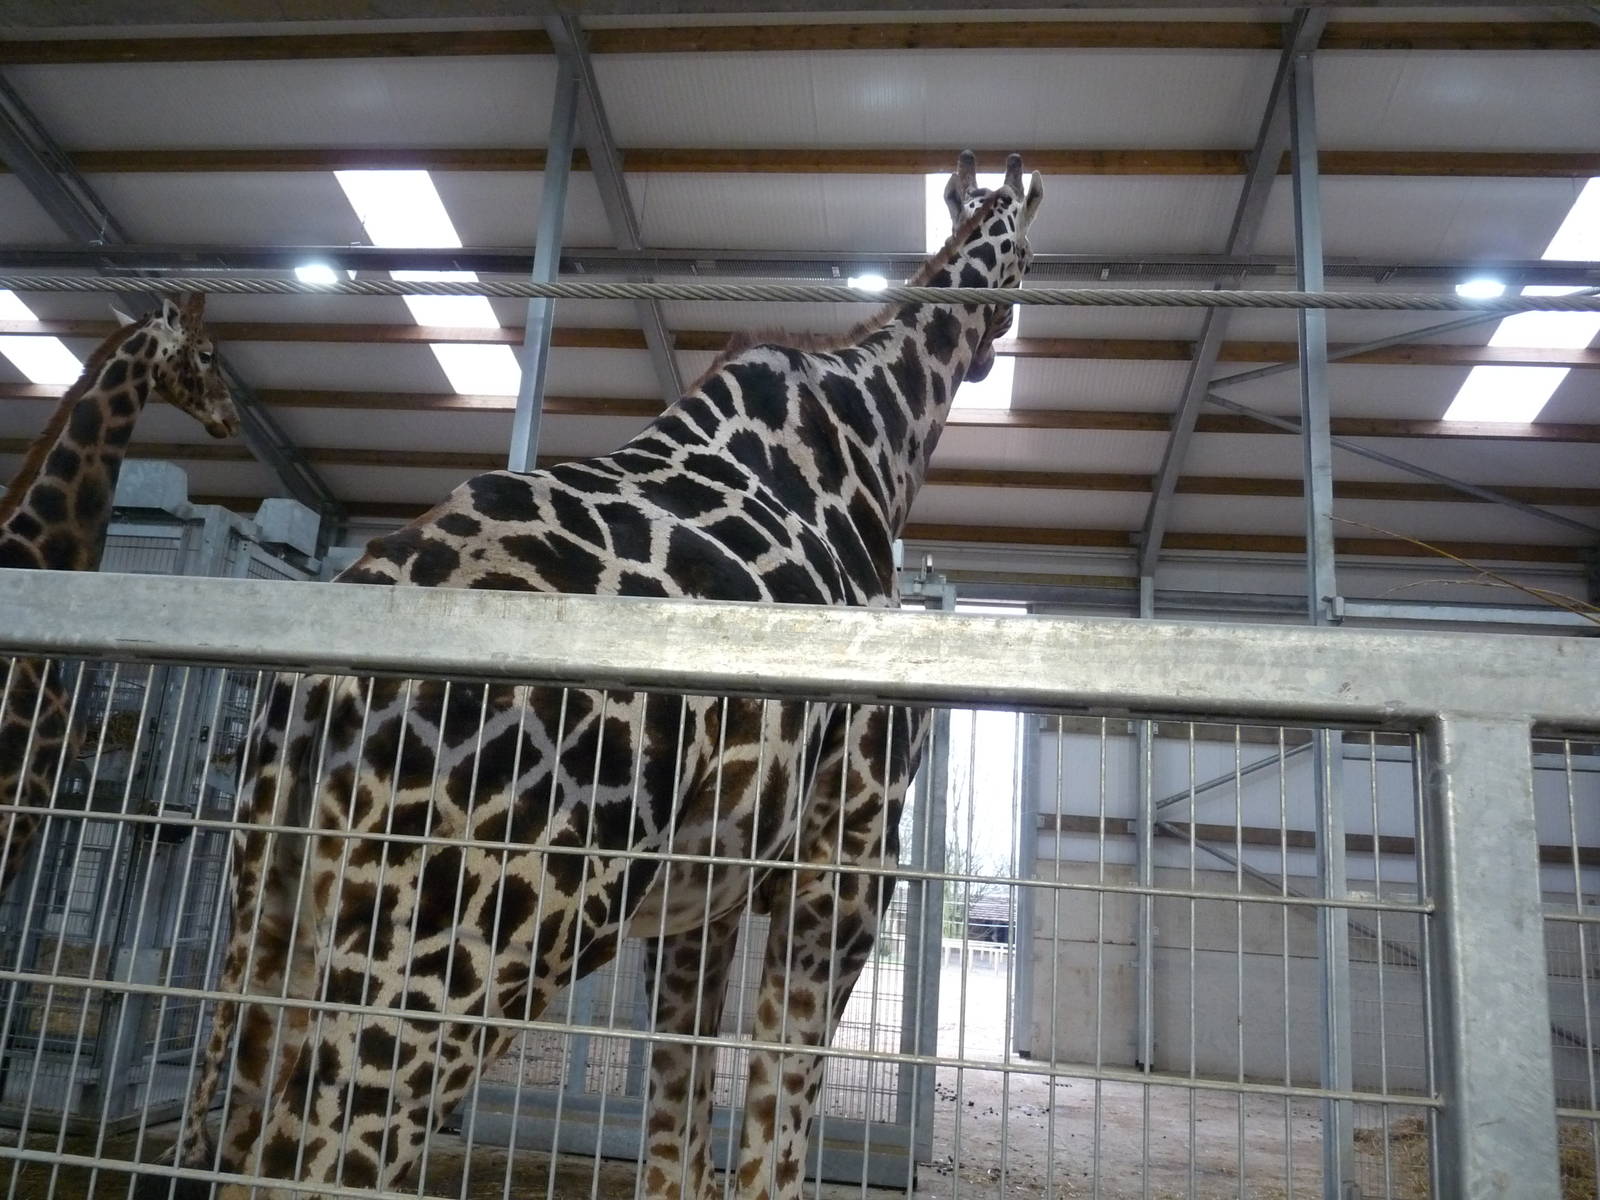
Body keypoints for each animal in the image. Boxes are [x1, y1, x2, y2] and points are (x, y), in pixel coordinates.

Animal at [149, 152, 1043, 1200]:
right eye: (1027, 254)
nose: (993, 350)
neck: (878, 441)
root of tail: (308, 709)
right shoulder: (848, 862)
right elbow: (771, 1151)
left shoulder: (703, 902)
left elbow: (677, 1147)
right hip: (464, 955)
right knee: (316, 1152)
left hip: (272, 922)